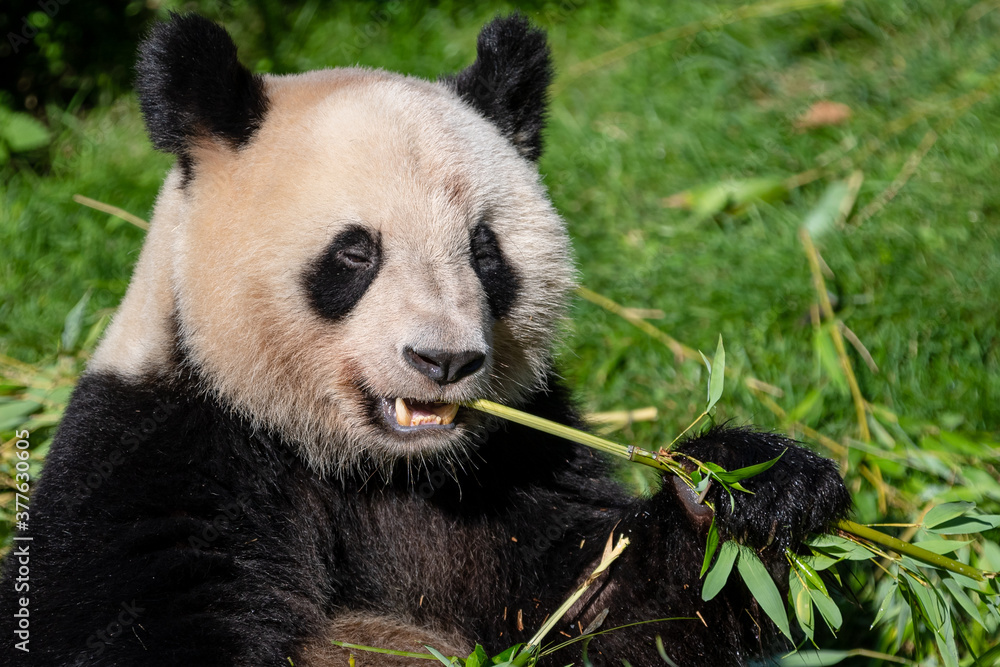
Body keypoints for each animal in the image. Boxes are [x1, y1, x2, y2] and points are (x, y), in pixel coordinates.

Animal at [0, 13, 850, 667]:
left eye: (484, 250)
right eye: (354, 252)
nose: (443, 360)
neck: (371, 468)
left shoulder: (507, 468)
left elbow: (601, 611)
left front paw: (745, 486)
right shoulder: (157, 461)